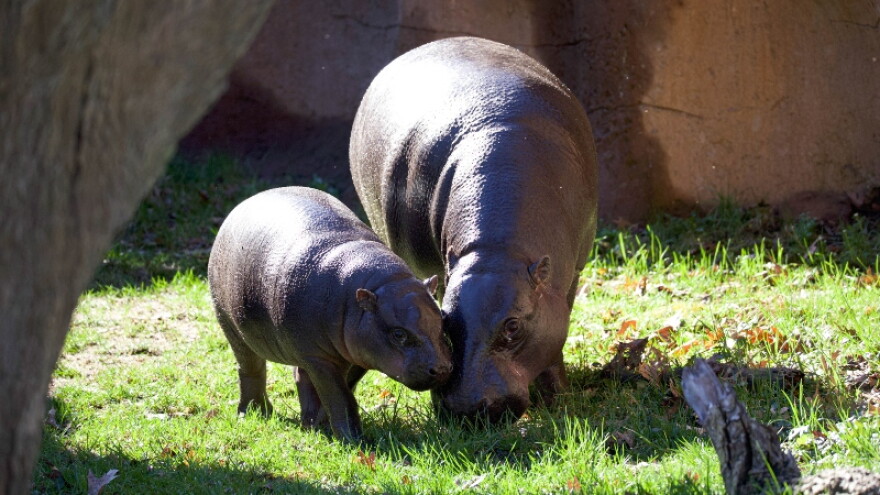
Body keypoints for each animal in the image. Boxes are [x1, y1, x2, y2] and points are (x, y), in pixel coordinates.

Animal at [207, 186, 452, 440]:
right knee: (251, 369)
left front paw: (322, 426)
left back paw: (308, 424)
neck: (380, 285)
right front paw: (354, 440)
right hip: (230, 324)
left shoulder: (358, 354)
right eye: (399, 334)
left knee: (300, 377)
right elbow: (338, 396)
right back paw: (254, 413)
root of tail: (247, 201)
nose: (443, 369)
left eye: (444, 322)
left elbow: (341, 391)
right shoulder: (320, 358)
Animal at [350, 37, 598, 423]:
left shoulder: (569, 275)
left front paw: (557, 395)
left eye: (513, 326)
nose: (466, 409)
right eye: (446, 321)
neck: (497, 249)